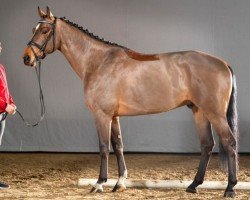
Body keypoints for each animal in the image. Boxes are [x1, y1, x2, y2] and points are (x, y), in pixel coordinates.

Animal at [23, 7, 238, 198]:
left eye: (44, 30)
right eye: (33, 29)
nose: (27, 58)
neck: (98, 62)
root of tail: (223, 63)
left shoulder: (101, 115)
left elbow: (103, 147)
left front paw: (99, 183)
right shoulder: (114, 116)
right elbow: (118, 145)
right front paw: (119, 183)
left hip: (215, 114)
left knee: (229, 142)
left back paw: (230, 188)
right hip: (199, 111)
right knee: (207, 144)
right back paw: (194, 185)